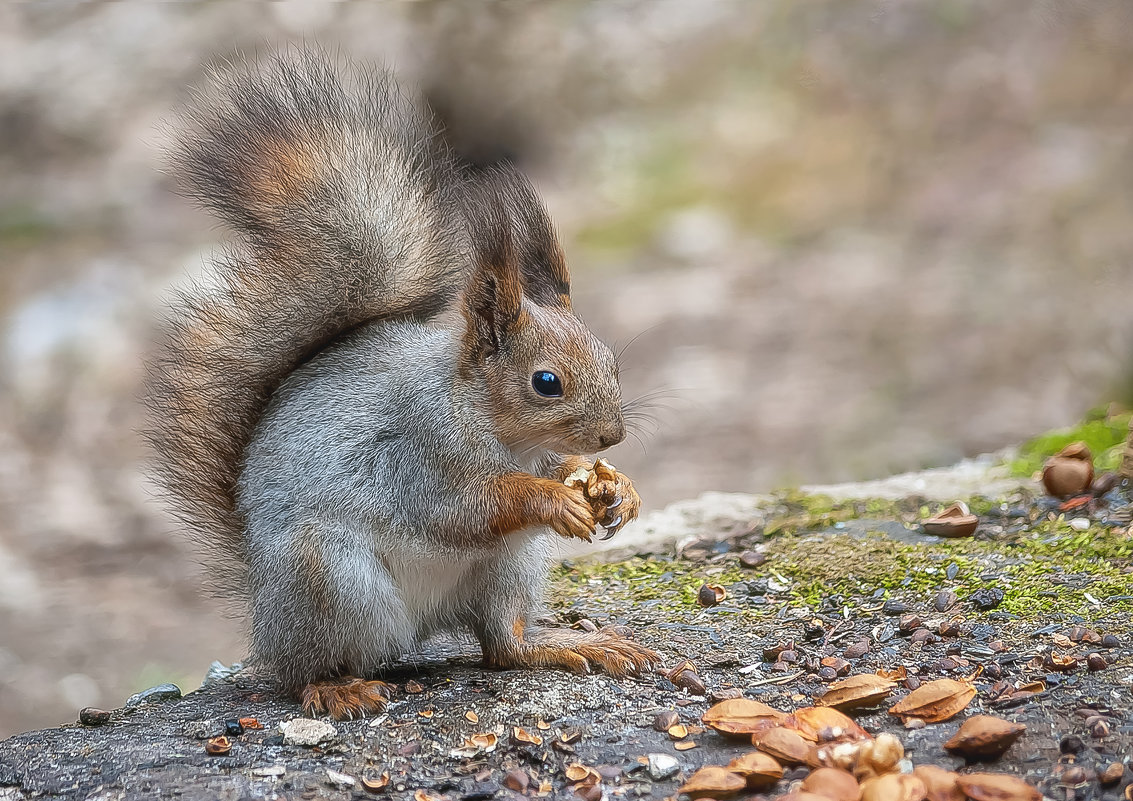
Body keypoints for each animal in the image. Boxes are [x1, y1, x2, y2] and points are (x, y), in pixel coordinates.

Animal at [146, 51, 661, 720]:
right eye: (545, 382)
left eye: (612, 362)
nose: (612, 437)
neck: (493, 423)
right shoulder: (419, 452)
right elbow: (462, 508)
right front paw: (551, 498)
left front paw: (616, 488)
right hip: (331, 580)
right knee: (302, 670)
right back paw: (335, 687)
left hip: (509, 566)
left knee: (502, 644)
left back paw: (565, 644)